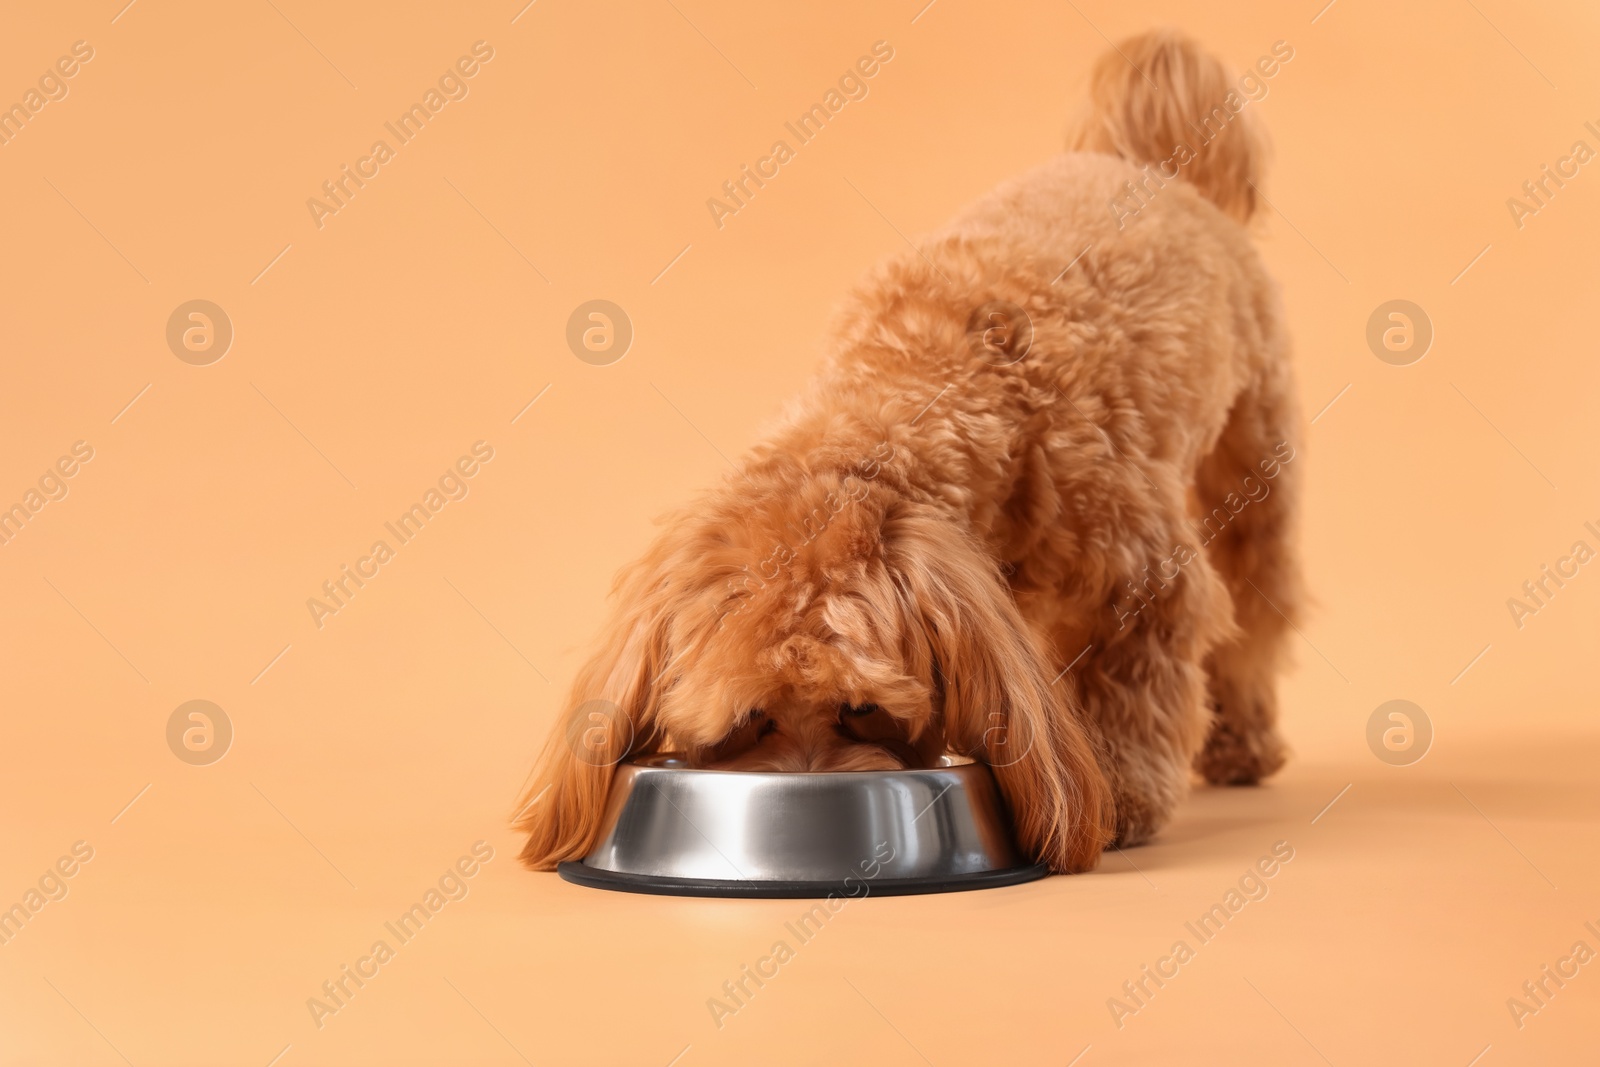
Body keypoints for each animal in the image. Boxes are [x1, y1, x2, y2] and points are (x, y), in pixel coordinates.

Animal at [521, 33, 1299, 876]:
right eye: (748, 718)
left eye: (863, 708)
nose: (804, 809)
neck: (916, 387)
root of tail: (1152, 168)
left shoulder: (1143, 573)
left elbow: (1134, 680)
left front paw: (1119, 795)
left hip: (1253, 463)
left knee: (1258, 608)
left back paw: (1244, 740)